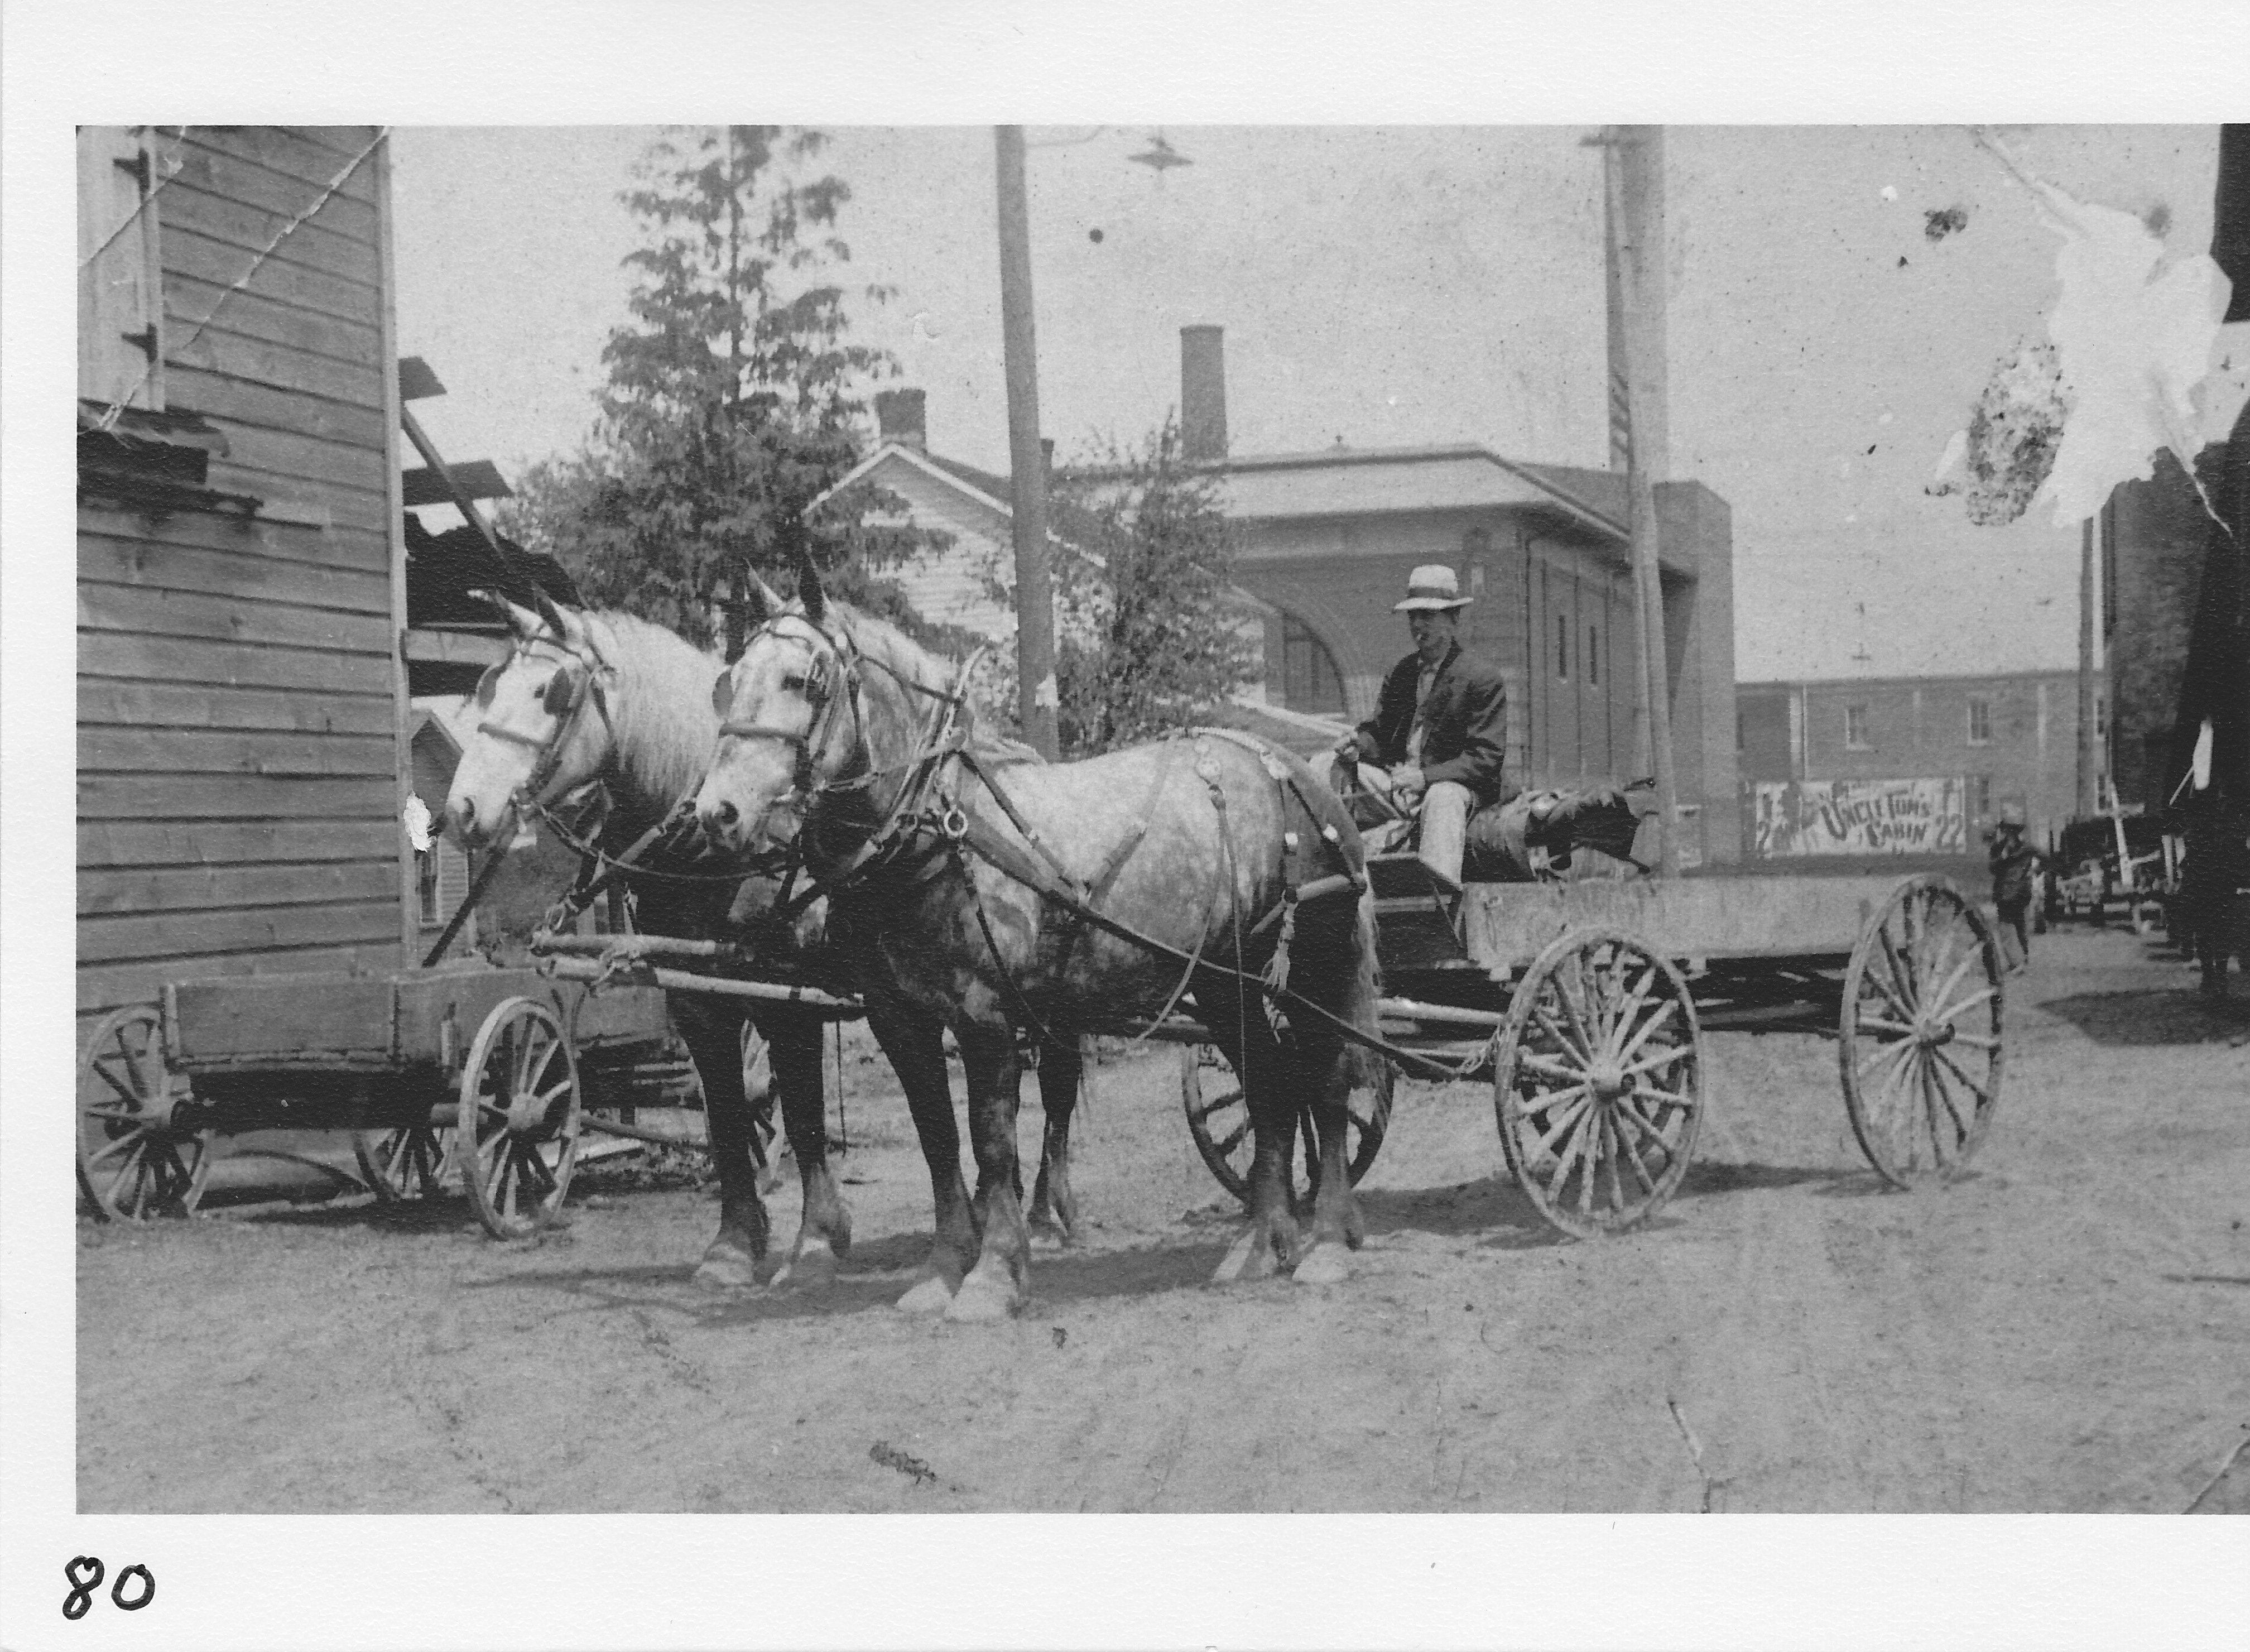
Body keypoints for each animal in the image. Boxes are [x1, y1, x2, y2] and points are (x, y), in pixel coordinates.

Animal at [693, 563, 1377, 1323]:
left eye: (803, 680)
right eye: (730, 679)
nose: (716, 812)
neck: (941, 829)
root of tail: (1295, 768)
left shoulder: (986, 1018)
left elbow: (993, 1143)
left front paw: (994, 1274)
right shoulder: (900, 1019)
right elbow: (938, 1137)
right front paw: (944, 1268)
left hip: (1313, 965)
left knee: (1328, 1082)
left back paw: (1325, 1242)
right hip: (1226, 981)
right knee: (1271, 1085)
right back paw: (1260, 1242)